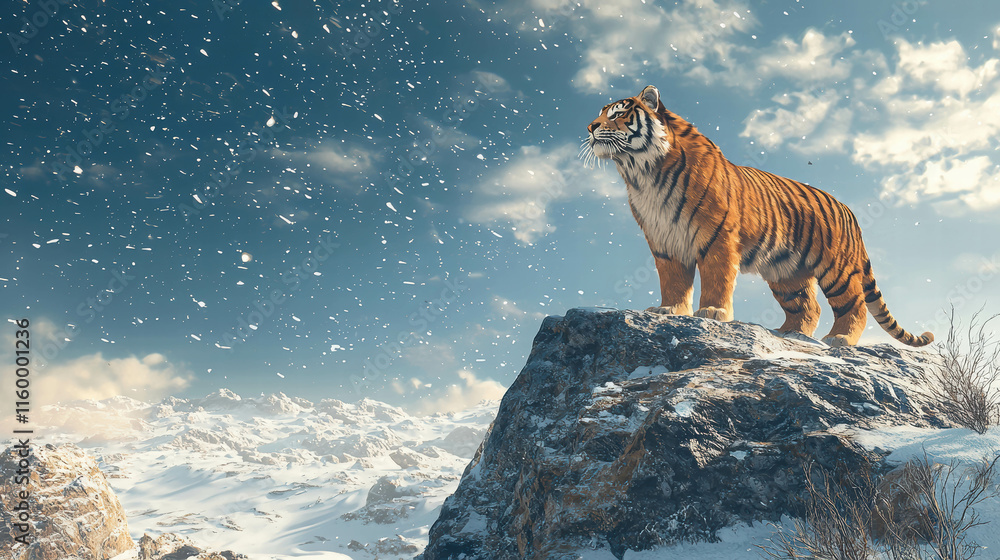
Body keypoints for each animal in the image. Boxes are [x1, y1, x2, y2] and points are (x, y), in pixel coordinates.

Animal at [584, 85, 933, 347]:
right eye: (600, 113)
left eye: (617, 113)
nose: (590, 127)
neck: (644, 174)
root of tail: (848, 210)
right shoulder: (665, 241)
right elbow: (673, 282)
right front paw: (669, 310)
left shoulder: (717, 237)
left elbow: (717, 279)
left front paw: (713, 312)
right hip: (786, 272)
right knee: (809, 307)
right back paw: (787, 333)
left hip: (837, 269)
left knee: (854, 304)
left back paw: (840, 339)